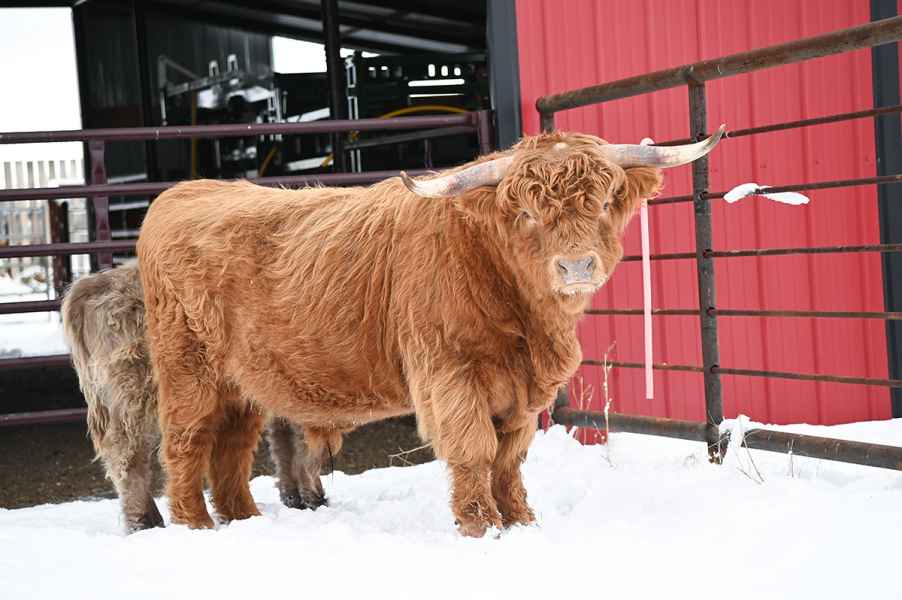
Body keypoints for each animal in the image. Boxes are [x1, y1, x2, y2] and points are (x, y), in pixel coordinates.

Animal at [61, 262, 330, 533]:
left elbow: (285, 442)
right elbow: (305, 444)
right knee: (127, 453)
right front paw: (314, 497)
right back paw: (144, 521)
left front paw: (294, 497)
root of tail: (96, 283)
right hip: (136, 394)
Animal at [136, 127, 723, 536]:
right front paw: (481, 526)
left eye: (602, 203)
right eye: (527, 213)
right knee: (186, 443)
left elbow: (509, 458)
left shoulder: (522, 392)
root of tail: (182, 194)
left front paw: (522, 521)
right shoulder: (449, 373)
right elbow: (475, 449)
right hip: (189, 371)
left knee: (231, 450)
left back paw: (244, 520)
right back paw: (196, 526)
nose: (576, 266)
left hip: (242, 383)